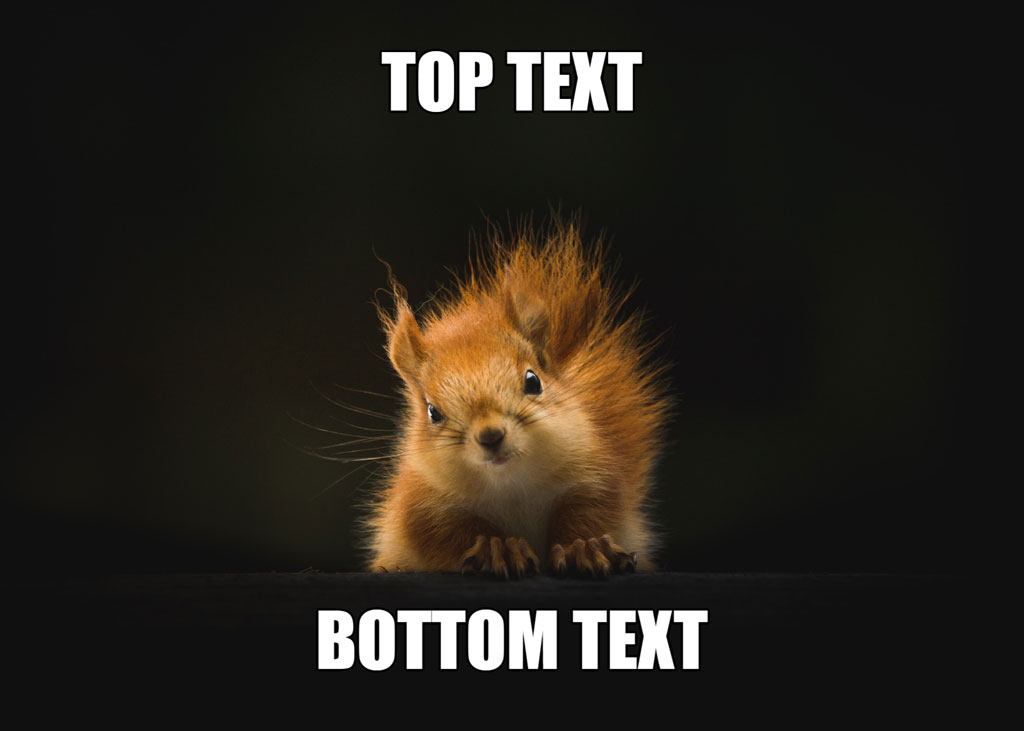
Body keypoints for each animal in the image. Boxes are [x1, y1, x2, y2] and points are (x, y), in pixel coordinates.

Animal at [364, 220, 670, 577]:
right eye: (432, 412)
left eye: (533, 381)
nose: (491, 435)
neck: (511, 485)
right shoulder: (422, 505)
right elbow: (449, 534)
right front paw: (498, 549)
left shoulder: (594, 476)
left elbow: (590, 513)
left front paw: (585, 547)